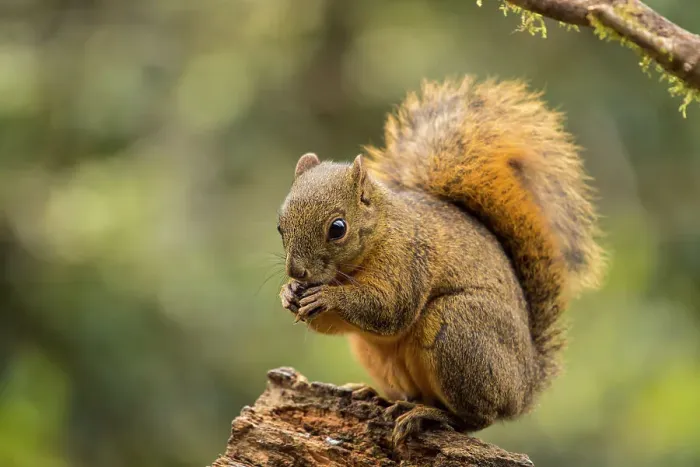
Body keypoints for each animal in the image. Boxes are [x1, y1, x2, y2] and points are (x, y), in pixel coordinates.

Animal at [277, 76, 605, 446]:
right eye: (280, 226)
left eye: (337, 228)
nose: (297, 271)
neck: (379, 232)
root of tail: (524, 387)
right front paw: (288, 293)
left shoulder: (408, 261)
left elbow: (390, 308)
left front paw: (327, 296)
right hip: (377, 354)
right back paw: (381, 397)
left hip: (459, 329)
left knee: (476, 418)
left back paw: (430, 415)